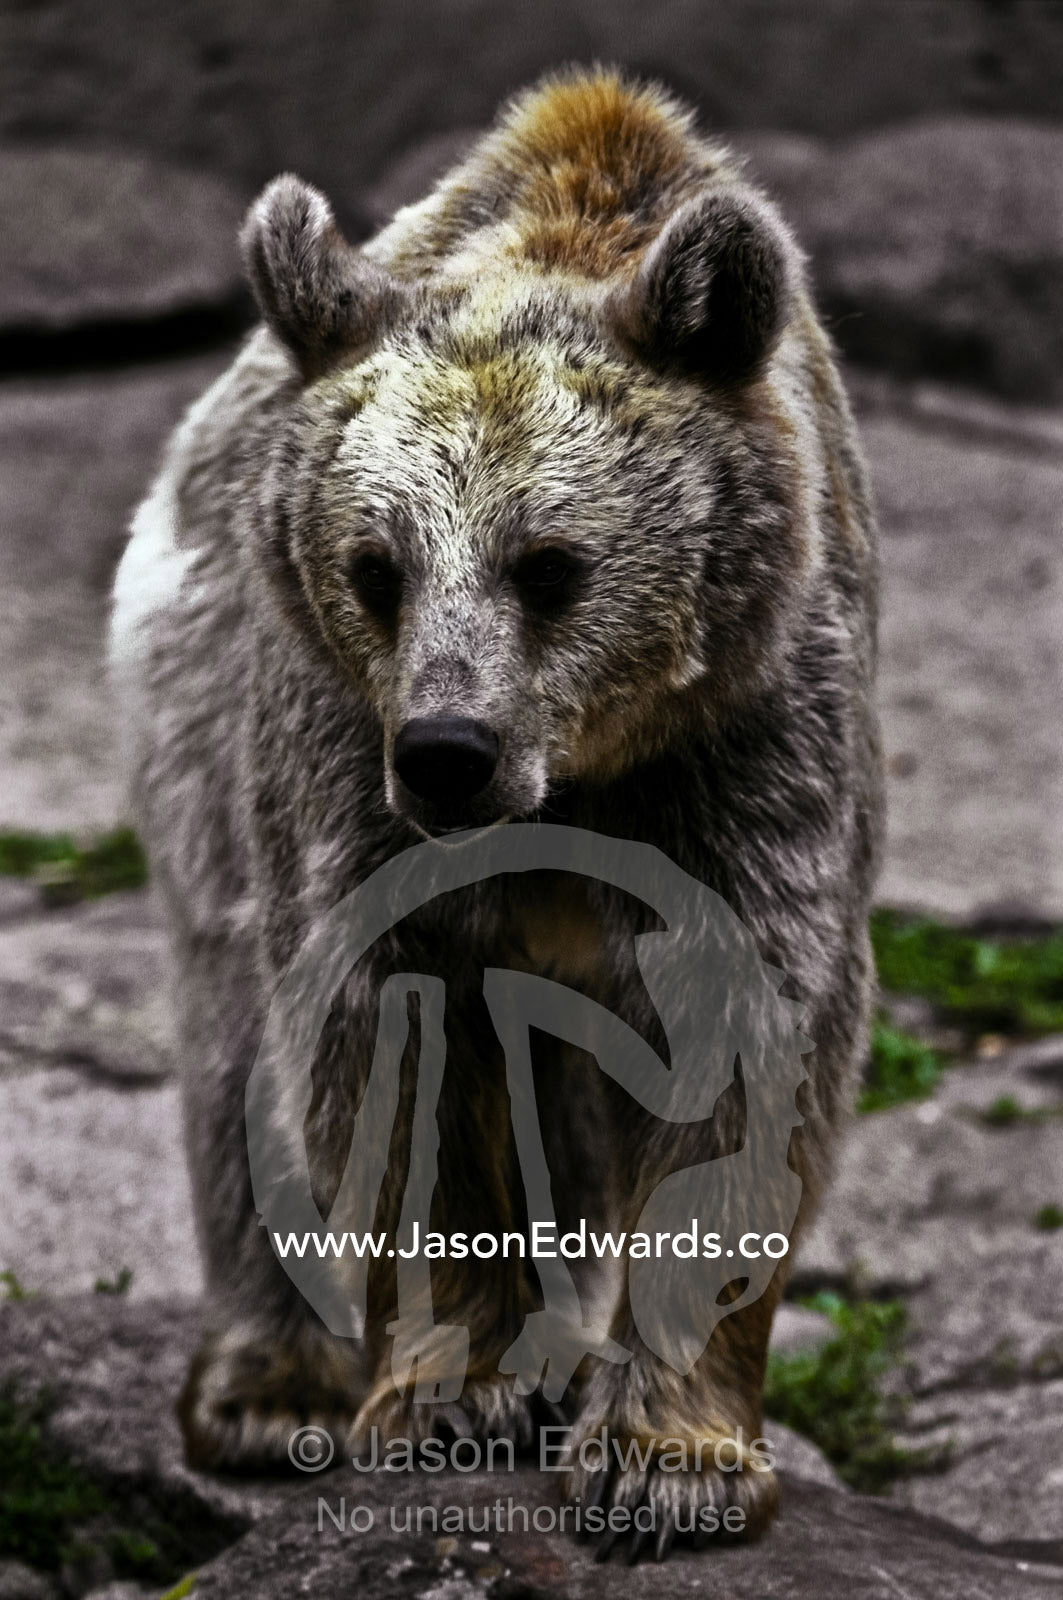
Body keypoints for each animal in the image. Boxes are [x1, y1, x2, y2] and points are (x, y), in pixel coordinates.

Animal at [110, 66, 882, 1560]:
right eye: (376, 567)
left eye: (550, 565)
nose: (447, 753)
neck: (579, 776)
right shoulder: (338, 761)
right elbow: (381, 1053)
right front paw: (451, 1395)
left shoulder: (752, 747)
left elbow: (746, 1062)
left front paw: (664, 1459)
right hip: (196, 691)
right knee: (231, 1027)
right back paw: (267, 1379)